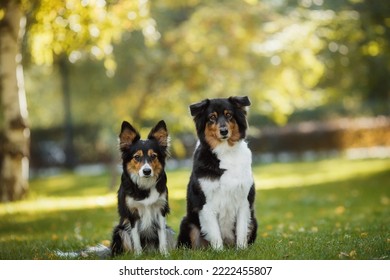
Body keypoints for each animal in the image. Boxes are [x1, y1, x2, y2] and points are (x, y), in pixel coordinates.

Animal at [111, 120, 175, 256]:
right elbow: (135, 236)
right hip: (120, 231)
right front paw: (138, 255)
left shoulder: (160, 209)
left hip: (170, 231)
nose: (147, 171)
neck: (145, 185)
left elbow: (162, 234)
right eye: (137, 157)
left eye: (154, 156)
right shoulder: (132, 213)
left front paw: (164, 254)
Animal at [178, 96, 258, 249]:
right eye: (212, 117)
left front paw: (241, 249)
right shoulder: (206, 203)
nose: (224, 131)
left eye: (229, 115)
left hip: (254, 221)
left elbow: (241, 230)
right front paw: (219, 251)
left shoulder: (244, 201)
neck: (226, 152)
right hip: (188, 222)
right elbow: (215, 234)